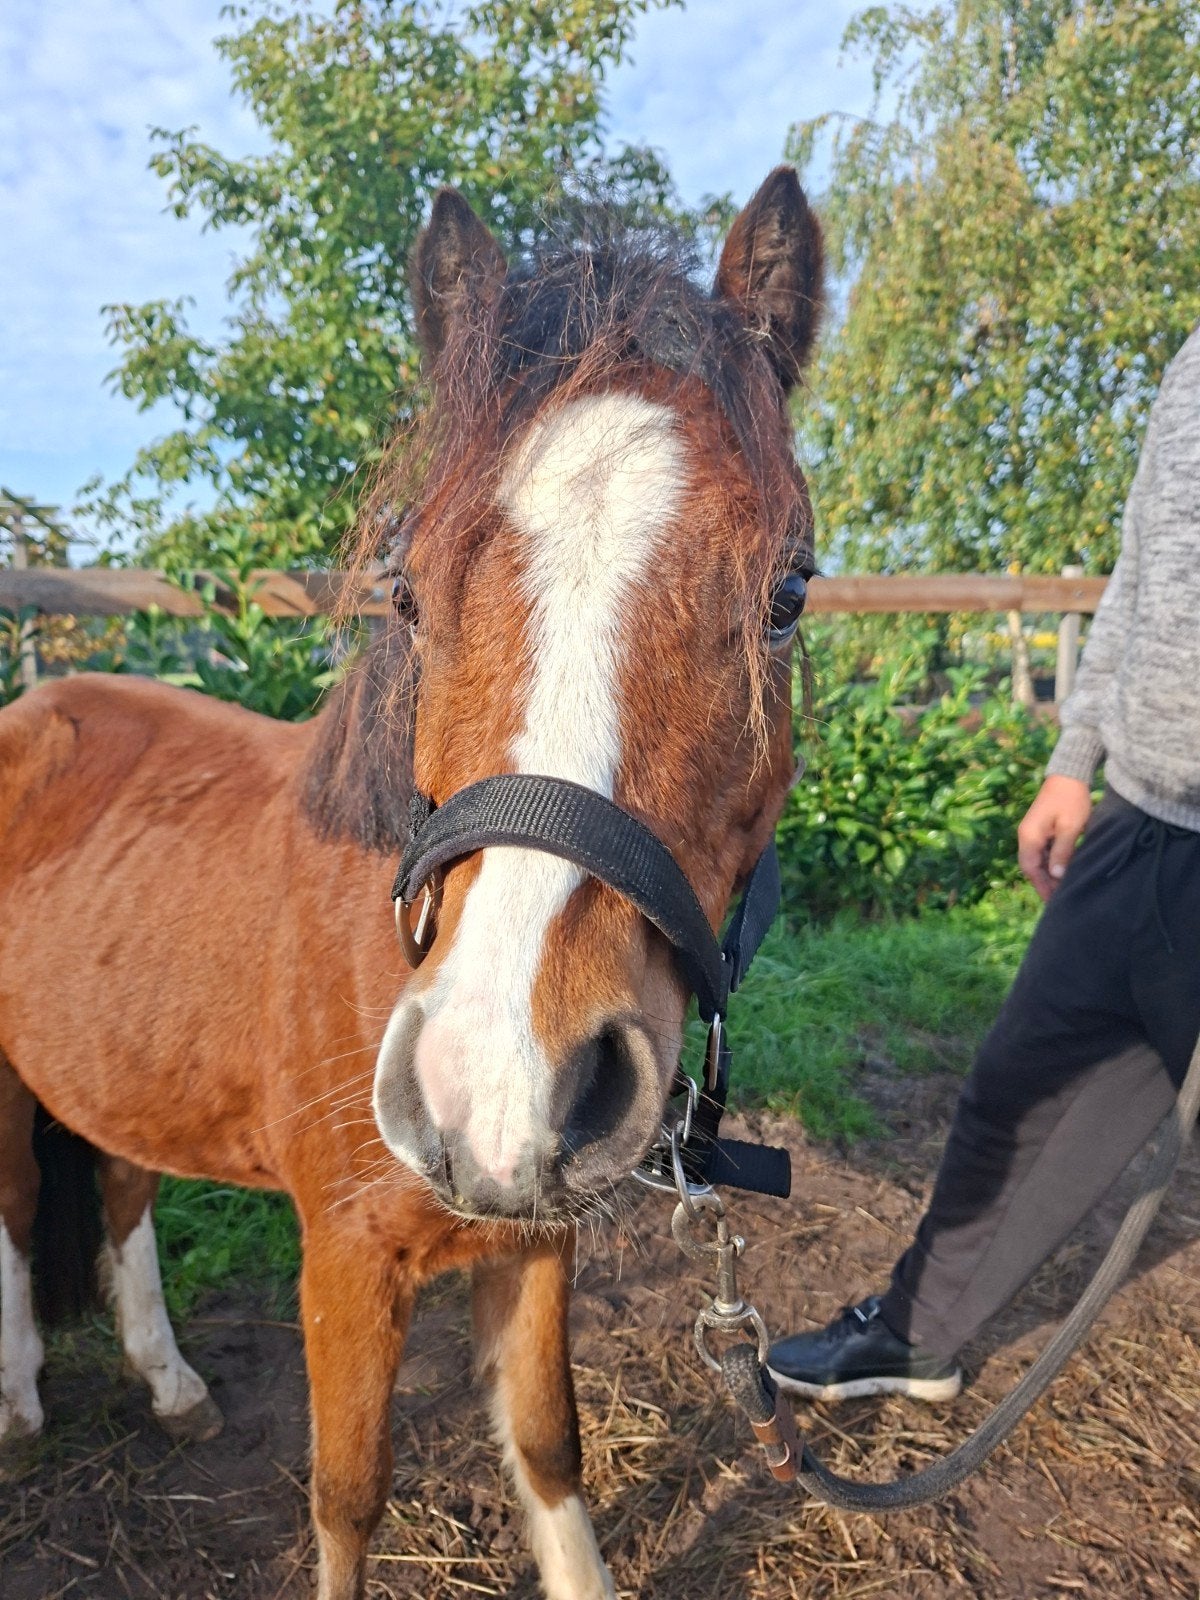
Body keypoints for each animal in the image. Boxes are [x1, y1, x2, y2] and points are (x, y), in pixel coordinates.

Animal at [0, 167, 822, 1599]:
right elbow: (347, 1496)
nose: (497, 1083)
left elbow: (549, 1454)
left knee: (119, 1182)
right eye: (409, 591)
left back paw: (169, 1382)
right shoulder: (343, 1261)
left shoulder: (536, 1240)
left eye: (787, 593)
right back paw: (21, 1400)